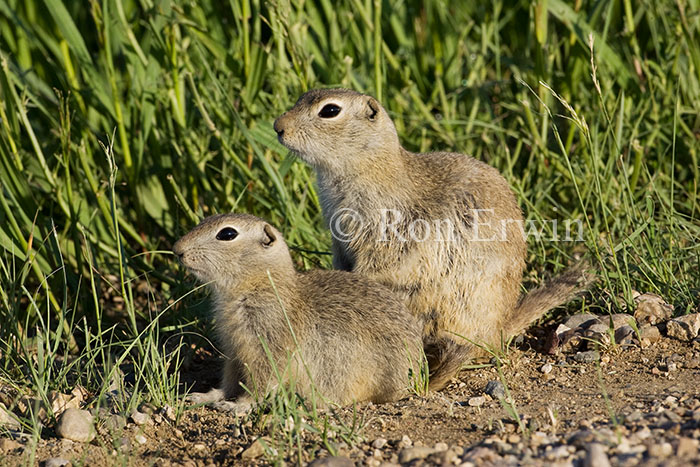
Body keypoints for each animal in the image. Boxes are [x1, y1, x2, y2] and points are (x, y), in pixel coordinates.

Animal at [174, 214, 426, 412]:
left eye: (227, 234)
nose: (177, 249)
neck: (261, 284)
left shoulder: (268, 348)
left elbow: (260, 384)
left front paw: (238, 406)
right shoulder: (234, 350)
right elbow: (229, 381)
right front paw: (204, 396)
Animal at [274, 89, 592, 390]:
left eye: (330, 110)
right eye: (302, 97)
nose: (278, 126)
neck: (370, 166)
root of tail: (500, 328)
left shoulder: (389, 230)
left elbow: (385, 262)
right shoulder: (338, 237)